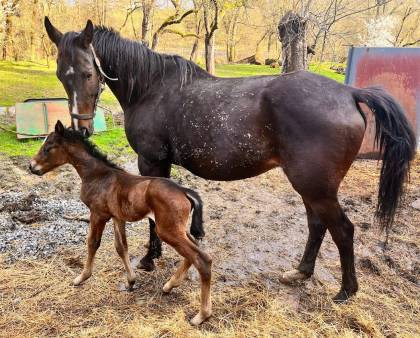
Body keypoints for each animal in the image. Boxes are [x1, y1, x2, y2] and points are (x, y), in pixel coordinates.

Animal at [29, 121, 212, 324]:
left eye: (48, 147)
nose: (31, 166)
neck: (98, 175)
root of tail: (184, 191)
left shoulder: (98, 214)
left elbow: (93, 243)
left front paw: (81, 277)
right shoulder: (117, 217)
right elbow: (121, 246)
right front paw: (131, 281)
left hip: (167, 230)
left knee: (202, 259)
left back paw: (201, 315)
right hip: (177, 228)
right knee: (194, 249)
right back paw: (170, 285)